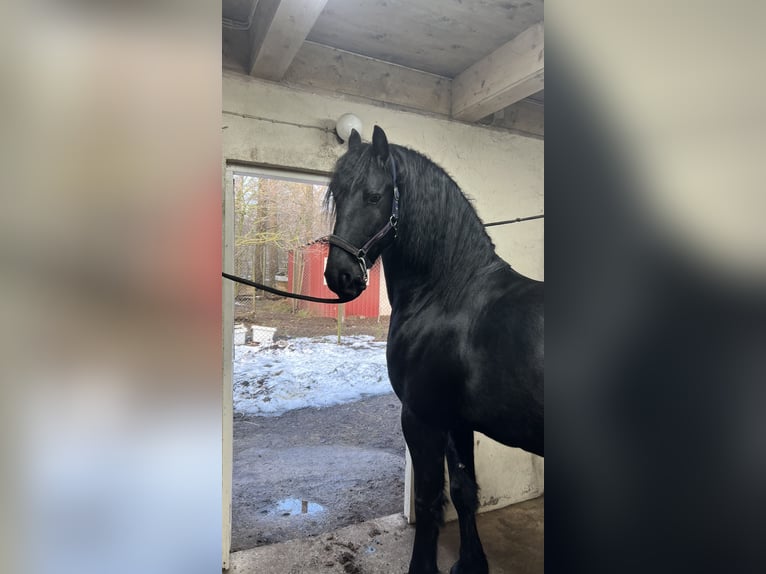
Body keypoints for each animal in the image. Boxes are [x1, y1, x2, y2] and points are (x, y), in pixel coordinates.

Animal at [324, 127, 544, 574]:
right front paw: (471, 564)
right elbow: (463, 490)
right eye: (336, 192)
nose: (340, 276)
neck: (447, 293)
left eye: (374, 196)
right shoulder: (457, 420)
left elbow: (428, 503)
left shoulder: (421, 417)